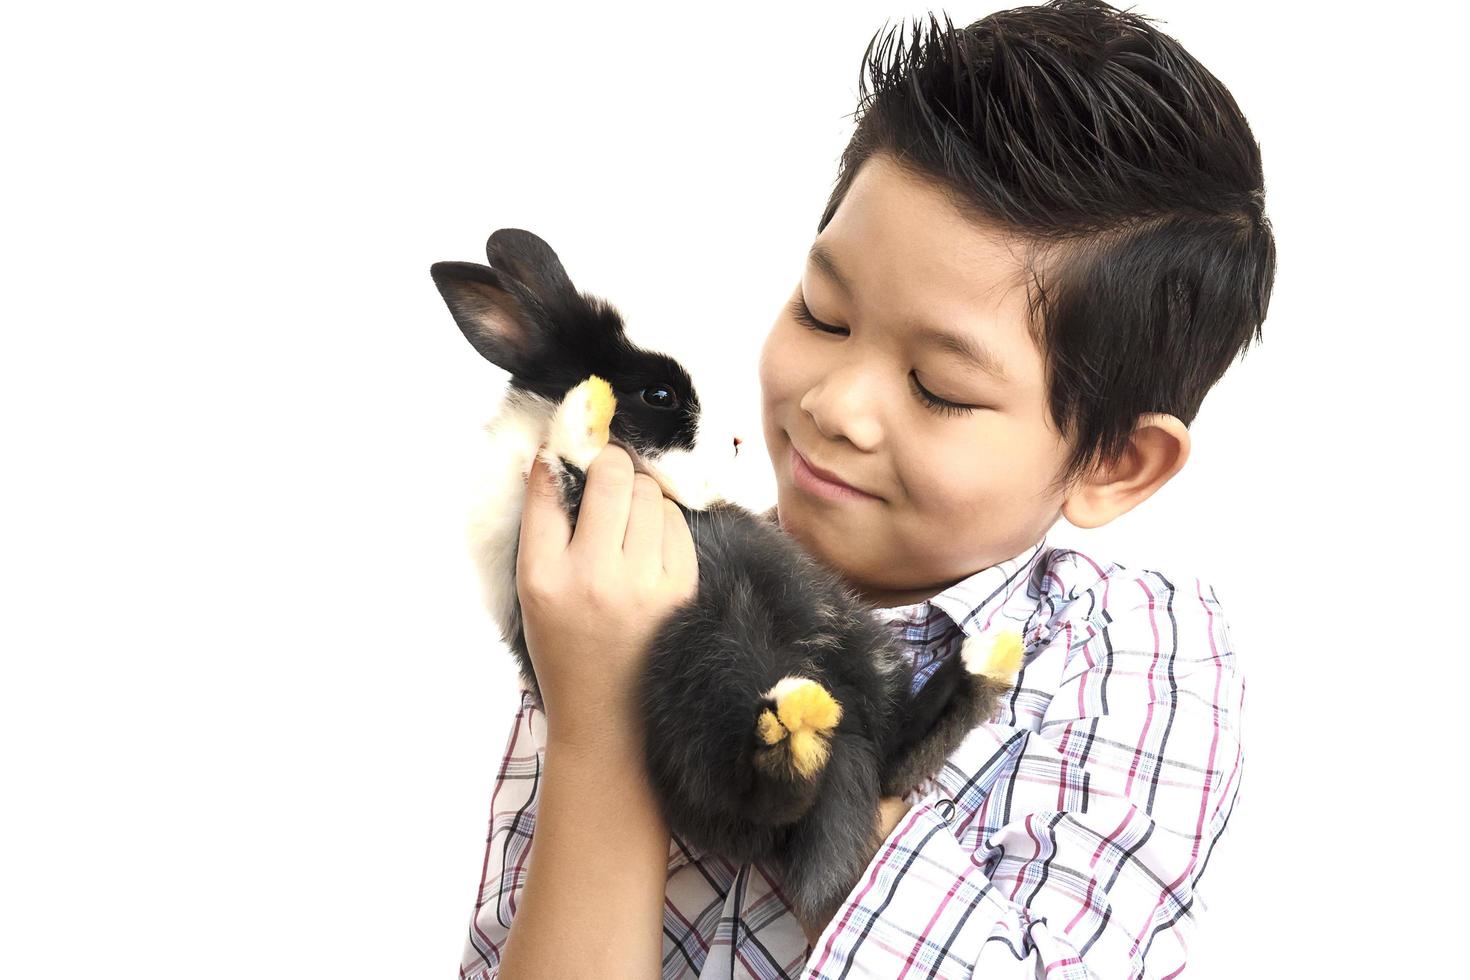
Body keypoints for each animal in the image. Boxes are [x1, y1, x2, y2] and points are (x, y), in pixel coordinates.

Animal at [429, 230, 1017, 934]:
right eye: (657, 395)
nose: (739, 440)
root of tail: (846, 744)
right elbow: (573, 455)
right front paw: (585, 407)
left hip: (849, 647)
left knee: (893, 755)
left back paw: (974, 662)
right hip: (704, 690)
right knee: (794, 791)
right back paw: (800, 725)